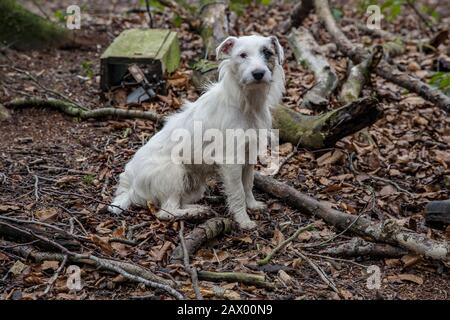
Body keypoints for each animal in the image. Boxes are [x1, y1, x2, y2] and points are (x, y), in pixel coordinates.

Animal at [108, 35, 284, 229]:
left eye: (267, 53)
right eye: (242, 55)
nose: (258, 73)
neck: (246, 103)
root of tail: (132, 186)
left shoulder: (249, 153)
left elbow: (247, 184)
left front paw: (252, 205)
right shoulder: (231, 162)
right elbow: (238, 192)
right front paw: (243, 220)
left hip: (194, 185)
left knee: (178, 203)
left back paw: (200, 209)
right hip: (175, 173)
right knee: (166, 212)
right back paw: (194, 213)